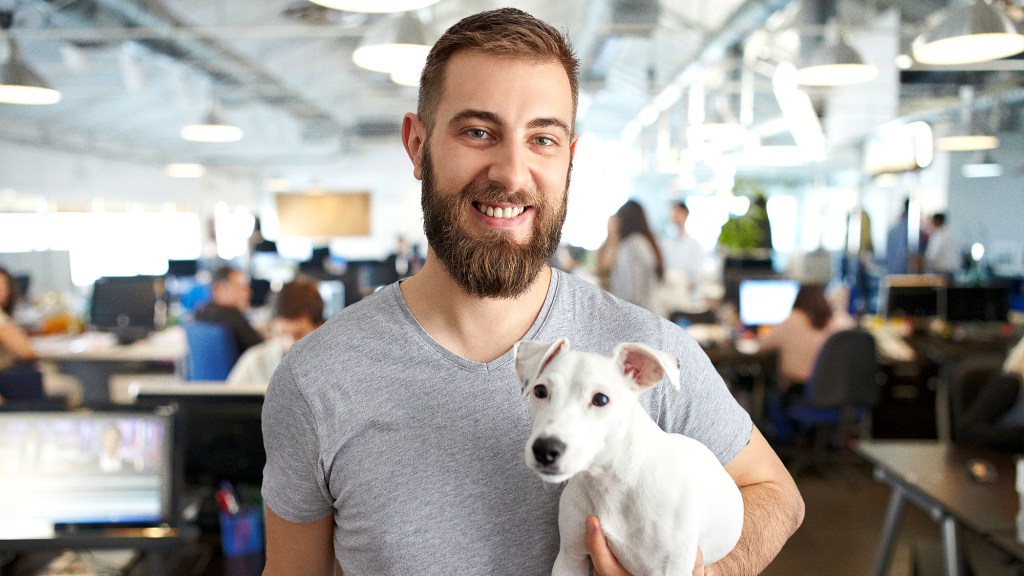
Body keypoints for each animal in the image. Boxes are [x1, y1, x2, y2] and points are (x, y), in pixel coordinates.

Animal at [516, 336, 741, 573]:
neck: (610, 483)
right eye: (540, 391)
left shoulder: (670, 568)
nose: (545, 449)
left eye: (601, 399)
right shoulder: (570, 557)